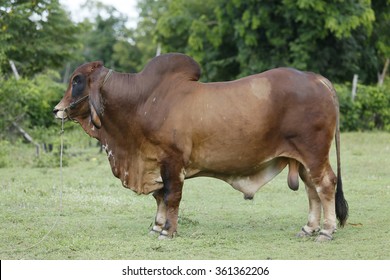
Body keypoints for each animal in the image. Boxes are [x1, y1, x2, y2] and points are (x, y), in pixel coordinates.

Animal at [53, 53, 348, 242]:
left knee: (325, 185)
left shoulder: (172, 162)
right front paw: (156, 227)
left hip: (314, 152)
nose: (57, 109)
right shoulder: (156, 162)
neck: (142, 102)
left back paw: (326, 231)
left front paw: (168, 231)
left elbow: (171, 196)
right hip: (305, 157)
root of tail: (317, 78)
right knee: (311, 189)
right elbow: (159, 197)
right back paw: (309, 228)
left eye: (77, 80)